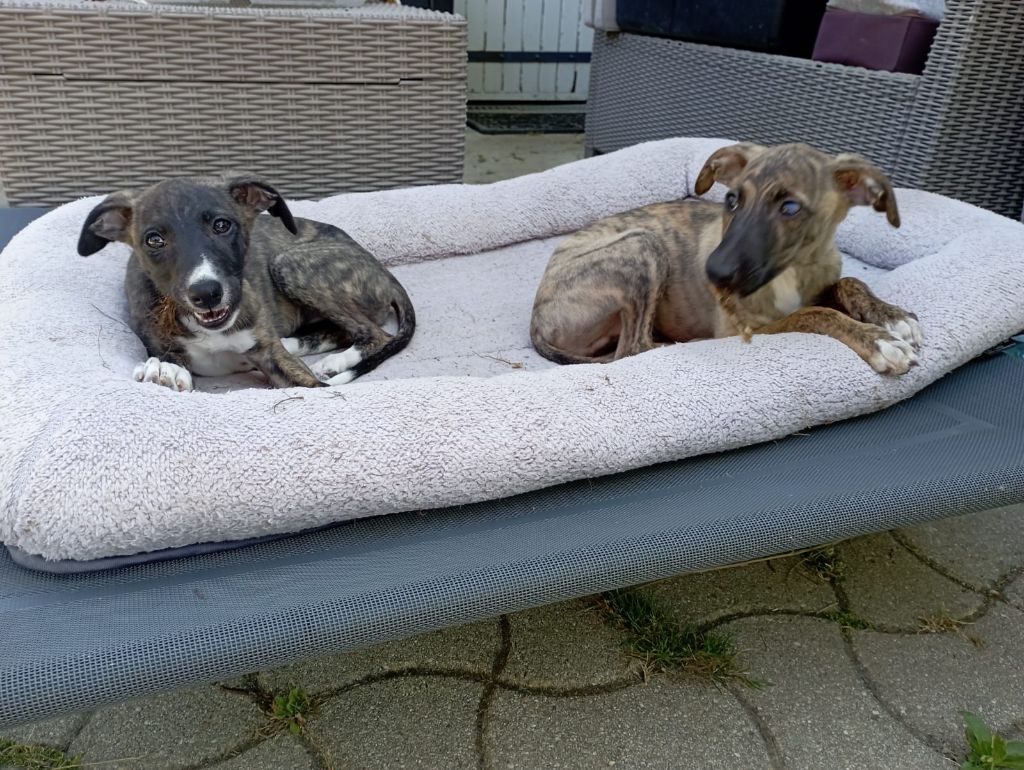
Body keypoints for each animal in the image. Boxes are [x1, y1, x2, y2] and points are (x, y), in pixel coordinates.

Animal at [77, 175, 415, 391]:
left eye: (222, 225)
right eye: (154, 240)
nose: (206, 294)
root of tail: (384, 271)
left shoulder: (292, 372)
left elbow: (314, 385)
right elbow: (165, 355)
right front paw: (164, 368)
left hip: (289, 263)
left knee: (374, 334)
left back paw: (333, 361)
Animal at [530, 142, 922, 375]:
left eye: (790, 208)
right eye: (732, 199)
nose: (714, 274)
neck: (794, 271)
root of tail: (536, 318)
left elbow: (849, 281)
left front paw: (893, 316)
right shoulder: (744, 328)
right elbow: (813, 314)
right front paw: (878, 341)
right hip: (641, 245)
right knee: (633, 348)